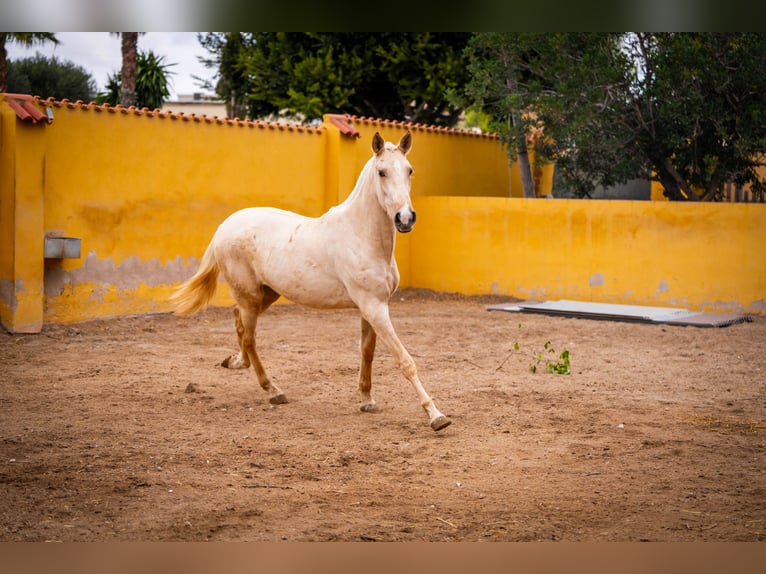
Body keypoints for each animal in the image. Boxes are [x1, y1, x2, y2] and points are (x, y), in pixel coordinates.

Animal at [171, 130, 452, 432]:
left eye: (409, 170)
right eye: (382, 172)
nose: (405, 218)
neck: (362, 236)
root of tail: (224, 227)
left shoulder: (371, 308)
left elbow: (367, 352)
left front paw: (367, 400)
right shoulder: (374, 307)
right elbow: (404, 360)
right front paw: (436, 416)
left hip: (265, 295)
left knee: (239, 325)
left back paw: (235, 363)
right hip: (250, 297)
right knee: (250, 338)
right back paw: (273, 390)